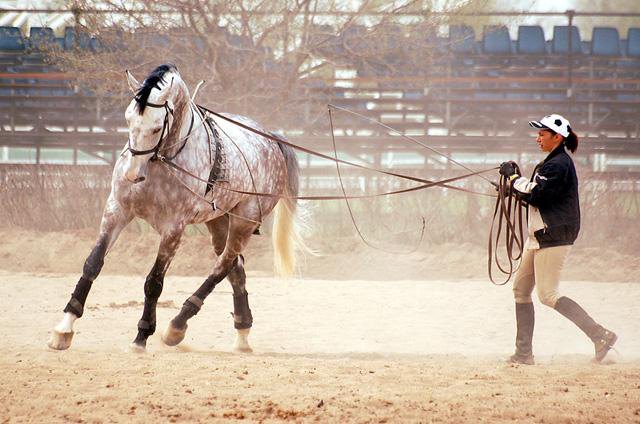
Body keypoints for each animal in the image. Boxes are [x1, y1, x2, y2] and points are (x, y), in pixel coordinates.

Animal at [47, 63, 302, 352]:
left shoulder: (173, 228)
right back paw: (242, 333)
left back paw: (177, 326)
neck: (160, 162)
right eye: (128, 119)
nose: (132, 175)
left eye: (157, 127)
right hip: (218, 221)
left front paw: (142, 335)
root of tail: (272, 140)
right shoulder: (117, 210)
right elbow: (92, 263)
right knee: (235, 269)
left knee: (222, 266)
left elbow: (154, 282)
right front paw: (64, 328)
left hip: (244, 221)